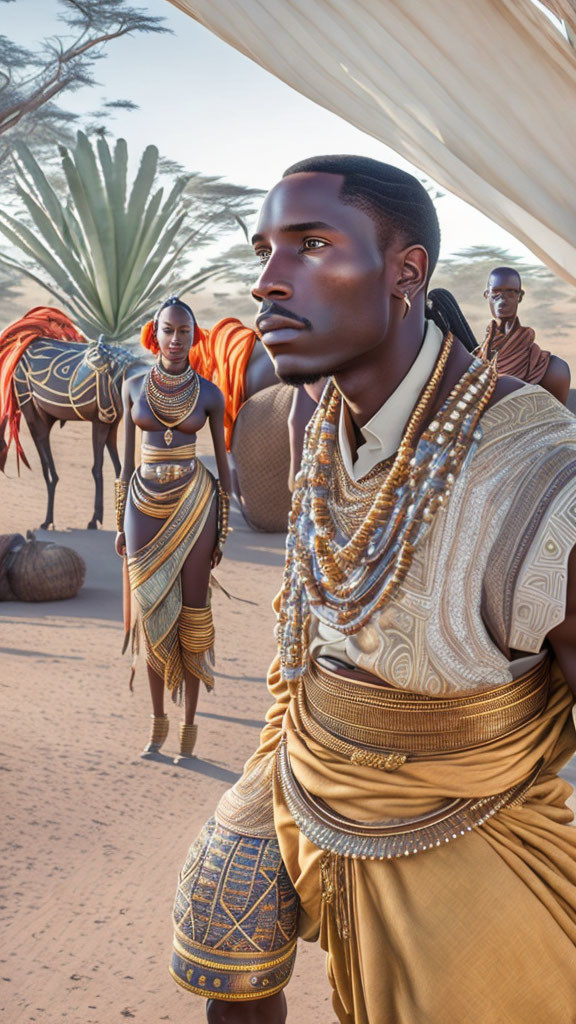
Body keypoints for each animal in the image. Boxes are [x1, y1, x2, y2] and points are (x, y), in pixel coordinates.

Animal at [3, 335, 147, 528]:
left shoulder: (112, 424)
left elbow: (119, 468)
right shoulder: (100, 422)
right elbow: (97, 469)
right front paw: (95, 519)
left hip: (42, 417)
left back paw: (49, 519)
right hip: (32, 413)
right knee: (48, 469)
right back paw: (48, 520)